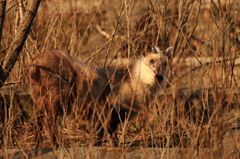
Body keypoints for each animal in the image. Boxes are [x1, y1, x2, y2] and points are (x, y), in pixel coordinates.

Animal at [28, 46, 172, 147]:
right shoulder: (106, 106)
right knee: (48, 120)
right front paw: (115, 146)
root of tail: (35, 64)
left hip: (38, 98)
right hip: (56, 96)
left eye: (166, 63)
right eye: (151, 60)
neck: (132, 82)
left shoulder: (115, 114)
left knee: (37, 120)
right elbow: (109, 131)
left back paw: (36, 144)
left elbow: (101, 134)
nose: (159, 77)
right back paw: (57, 144)